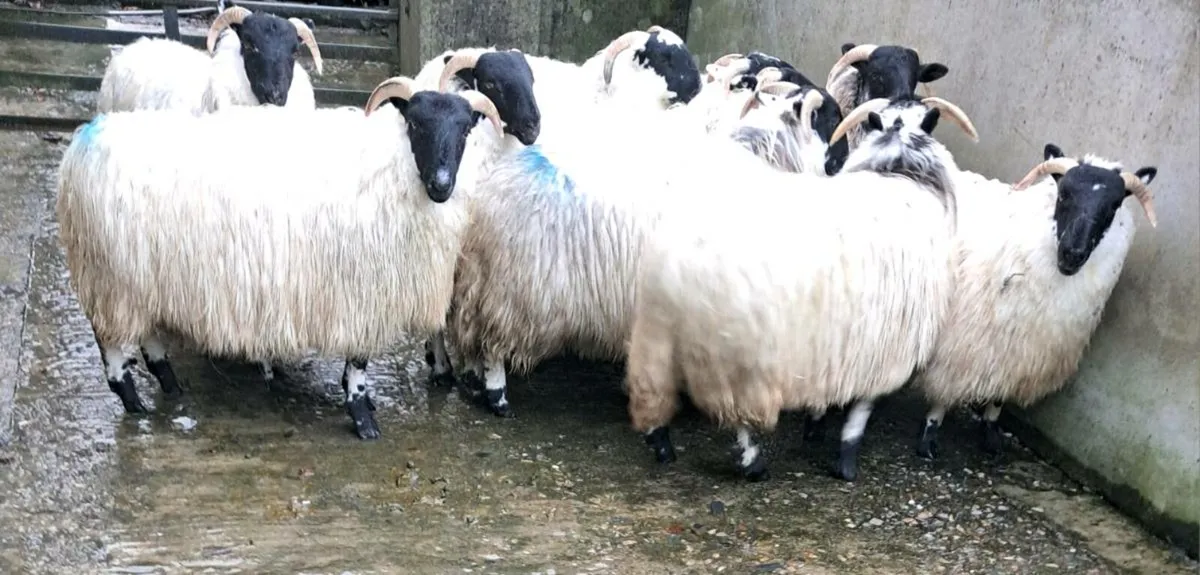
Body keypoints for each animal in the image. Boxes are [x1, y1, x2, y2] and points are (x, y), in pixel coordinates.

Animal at [56, 76, 504, 440]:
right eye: (416, 124)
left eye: (465, 129)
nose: (442, 185)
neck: (393, 169)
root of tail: (81, 148)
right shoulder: (361, 297)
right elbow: (358, 365)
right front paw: (363, 418)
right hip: (109, 276)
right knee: (112, 344)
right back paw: (134, 402)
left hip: (140, 276)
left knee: (147, 333)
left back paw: (170, 385)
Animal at [624, 96, 979, 482]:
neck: (901, 171)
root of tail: (680, 263)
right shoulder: (886, 347)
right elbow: (861, 410)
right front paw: (846, 462)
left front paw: (816, 428)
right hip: (737, 354)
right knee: (738, 415)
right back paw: (753, 463)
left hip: (656, 334)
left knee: (650, 393)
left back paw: (661, 445)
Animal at [912, 143, 1159, 459]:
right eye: (1064, 193)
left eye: (1114, 205)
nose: (1072, 254)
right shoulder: (960, 345)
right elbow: (945, 391)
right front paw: (930, 435)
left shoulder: (1024, 353)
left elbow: (999, 398)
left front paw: (991, 435)